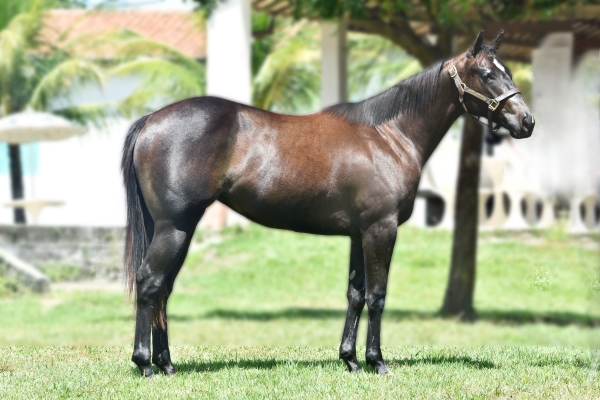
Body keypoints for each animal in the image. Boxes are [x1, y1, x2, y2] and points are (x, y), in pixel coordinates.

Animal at [122, 29, 536, 376]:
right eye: (486, 73)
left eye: (506, 69)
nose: (527, 121)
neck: (388, 136)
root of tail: (151, 121)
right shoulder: (380, 230)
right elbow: (377, 295)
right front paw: (377, 362)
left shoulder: (359, 234)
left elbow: (355, 295)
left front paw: (350, 360)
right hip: (175, 227)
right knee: (150, 283)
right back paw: (144, 364)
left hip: (178, 229)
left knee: (163, 289)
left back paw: (166, 364)